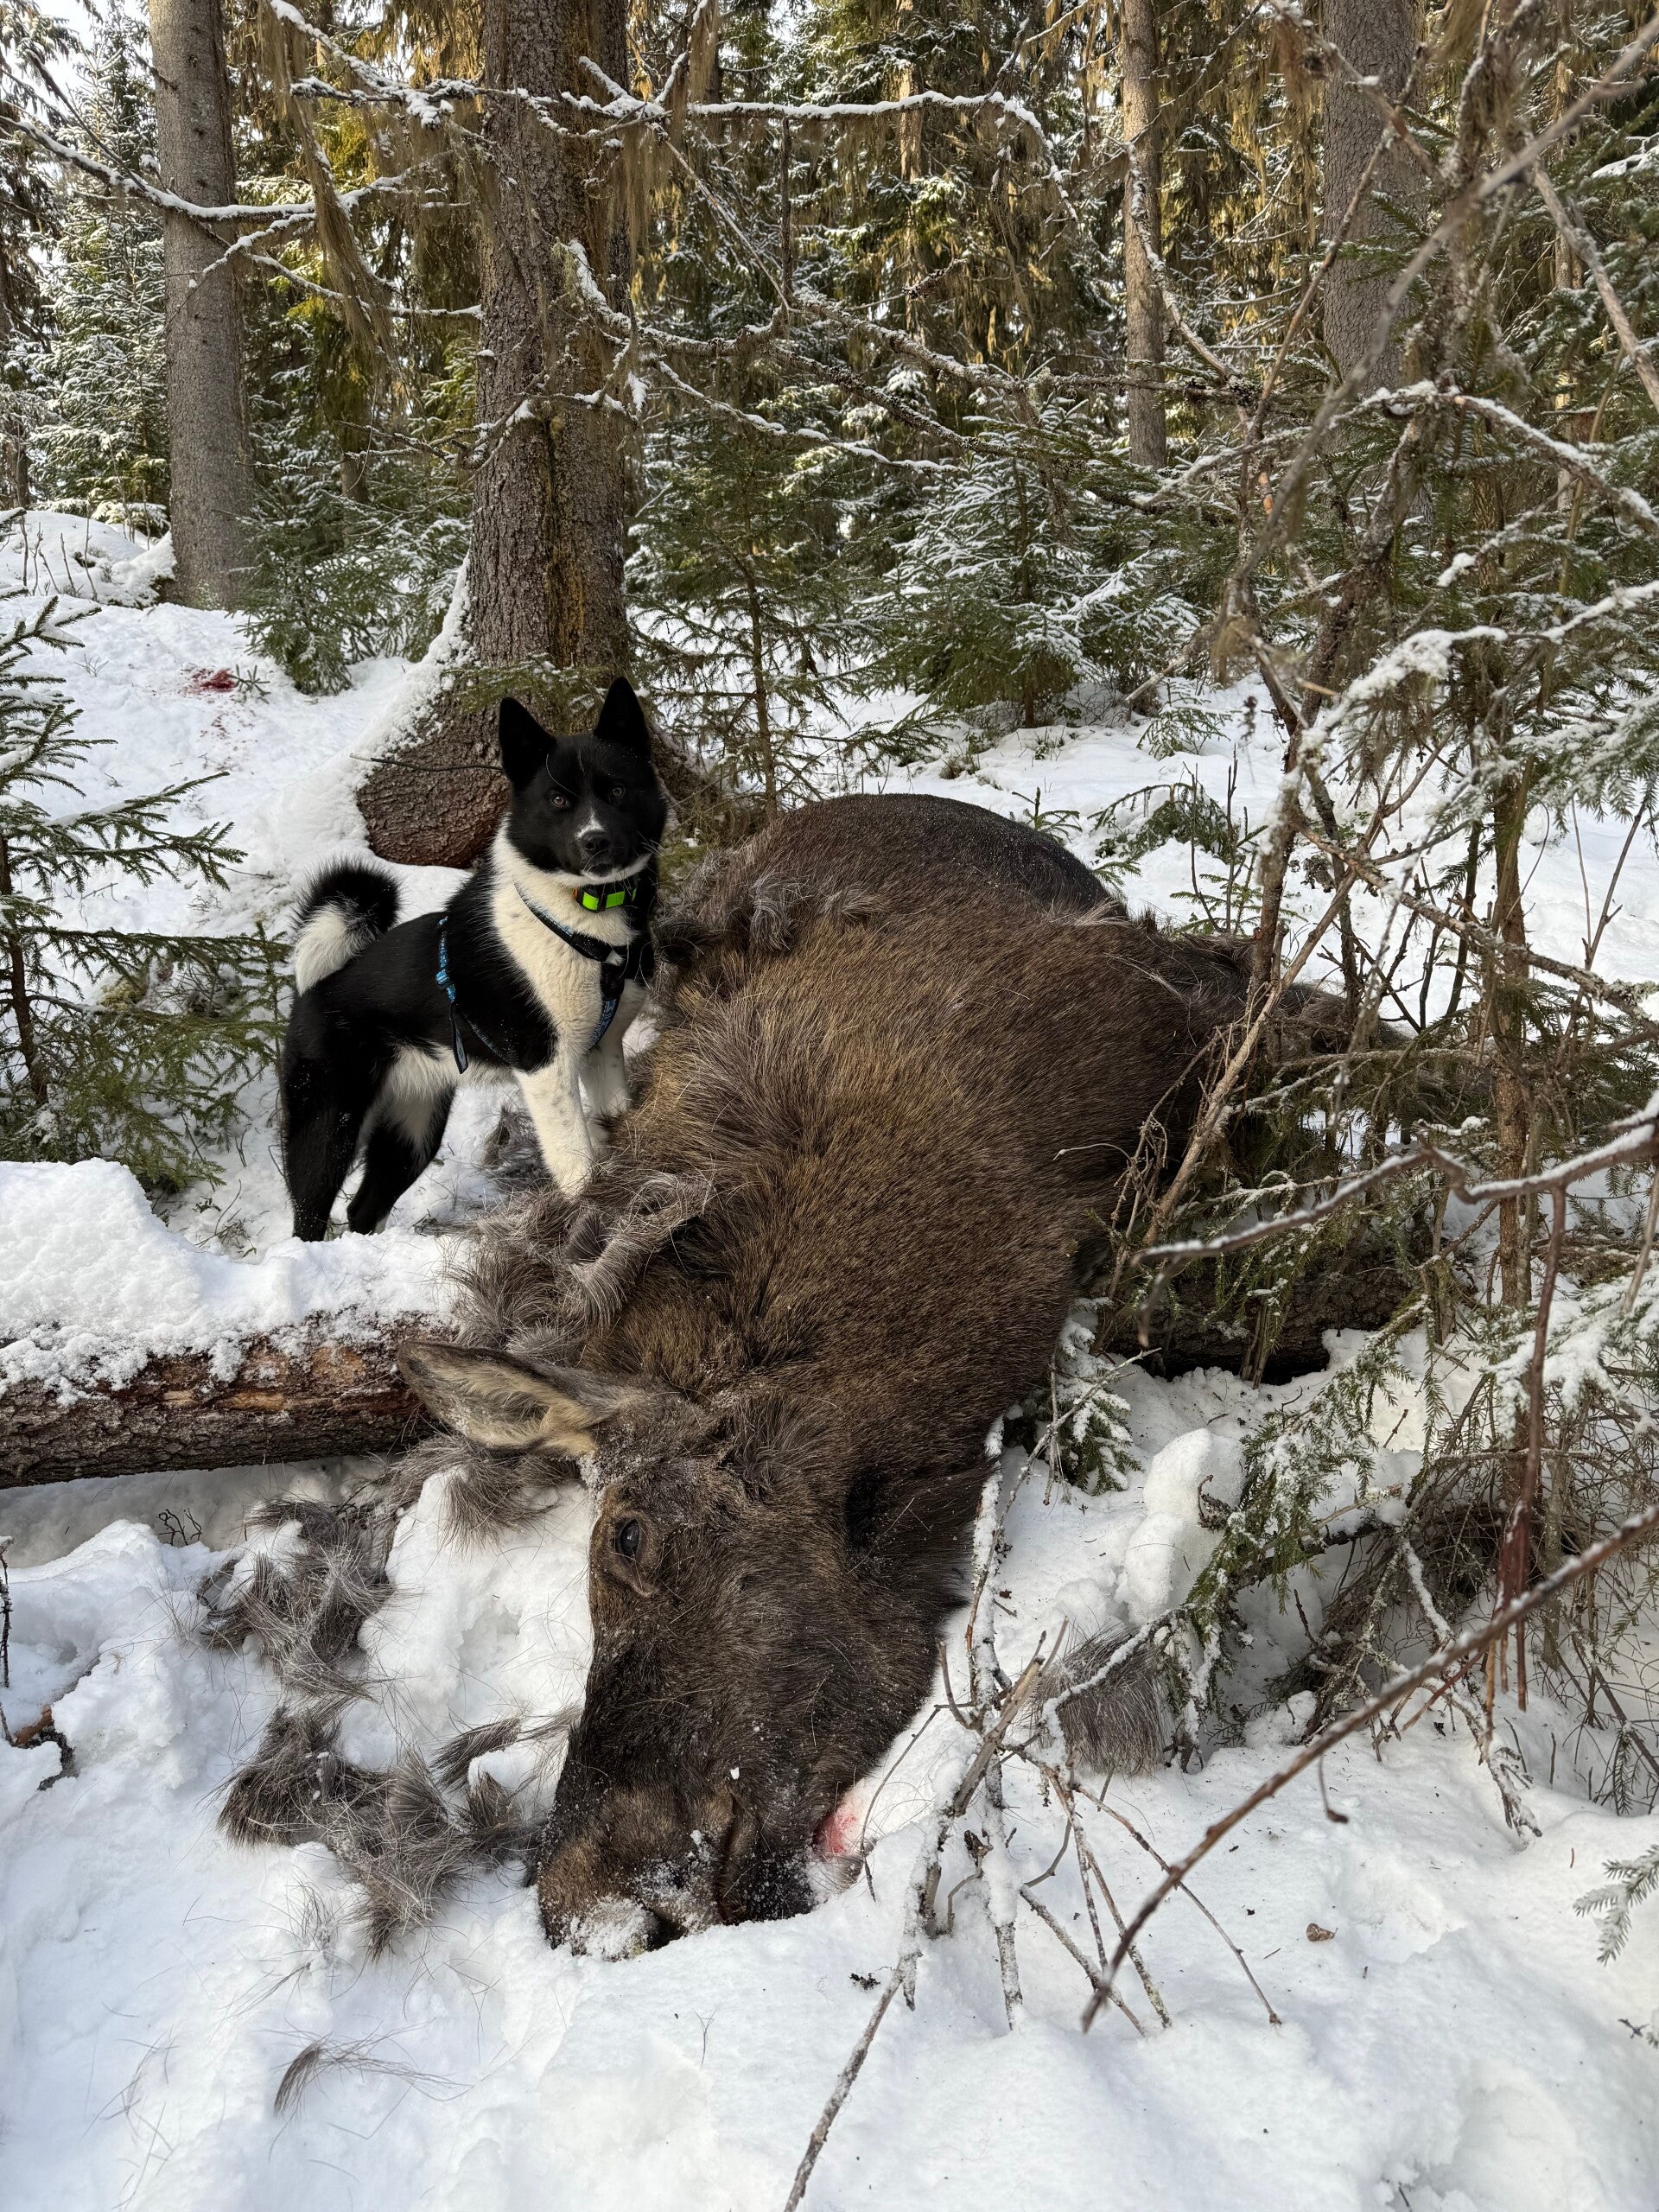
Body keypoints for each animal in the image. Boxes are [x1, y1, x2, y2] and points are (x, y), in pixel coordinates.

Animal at [279, 678, 668, 1240]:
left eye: (616, 790)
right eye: (557, 799)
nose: (595, 841)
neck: (582, 920)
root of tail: (314, 989)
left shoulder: (602, 1051)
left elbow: (615, 1117)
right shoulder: (545, 1066)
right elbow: (574, 1157)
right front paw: (587, 1210)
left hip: (413, 1128)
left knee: (362, 1209)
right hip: (329, 1126)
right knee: (308, 1216)